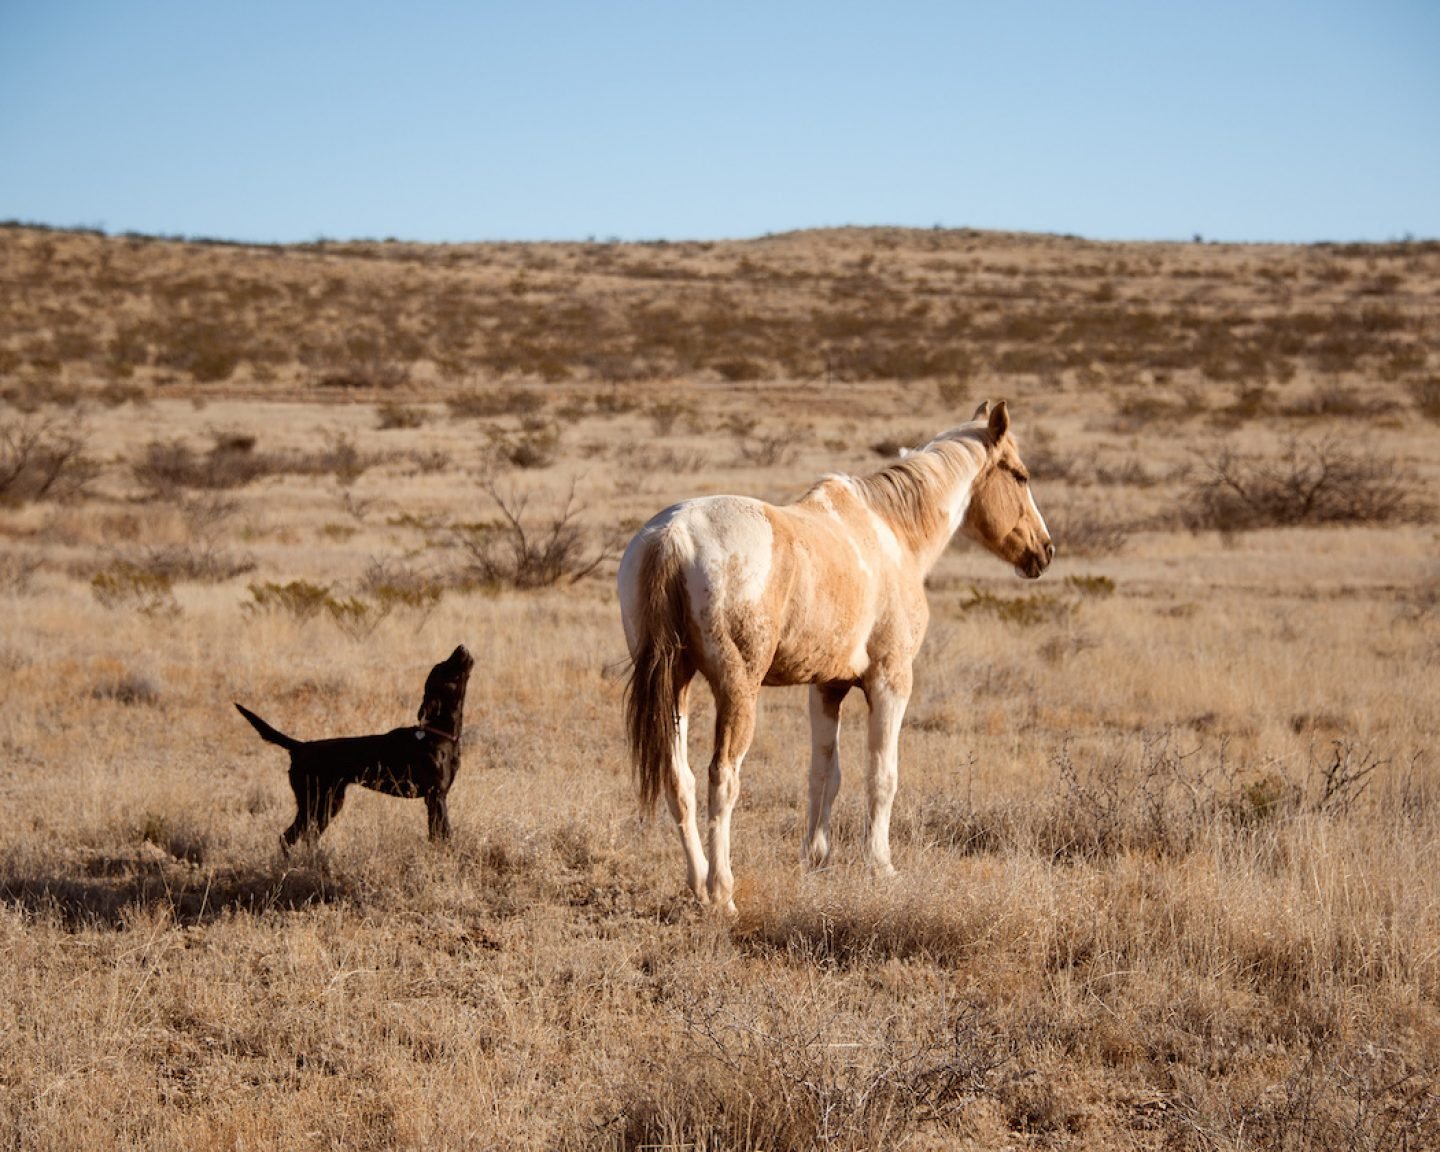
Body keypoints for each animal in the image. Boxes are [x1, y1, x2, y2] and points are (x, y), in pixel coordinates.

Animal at [233, 642, 475, 852]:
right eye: (444, 666)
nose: (461, 646)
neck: (440, 733)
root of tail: (300, 747)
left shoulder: (436, 797)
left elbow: (436, 835)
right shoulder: (436, 796)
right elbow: (444, 834)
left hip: (329, 803)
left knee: (306, 837)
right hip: (315, 801)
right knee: (288, 837)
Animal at [616, 400, 1048, 915]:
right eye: (1020, 475)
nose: (1044, 551)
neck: (893, 533)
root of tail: (675, 535)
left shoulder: (827, 687)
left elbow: (825, 772)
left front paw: (817, 858)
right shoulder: (890, 683)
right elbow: (881, 775)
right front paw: (880, 866)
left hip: (676, 688)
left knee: (677, 778)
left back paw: (699, 884)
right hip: (737, 691)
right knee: (722, 777)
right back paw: (722, 892)